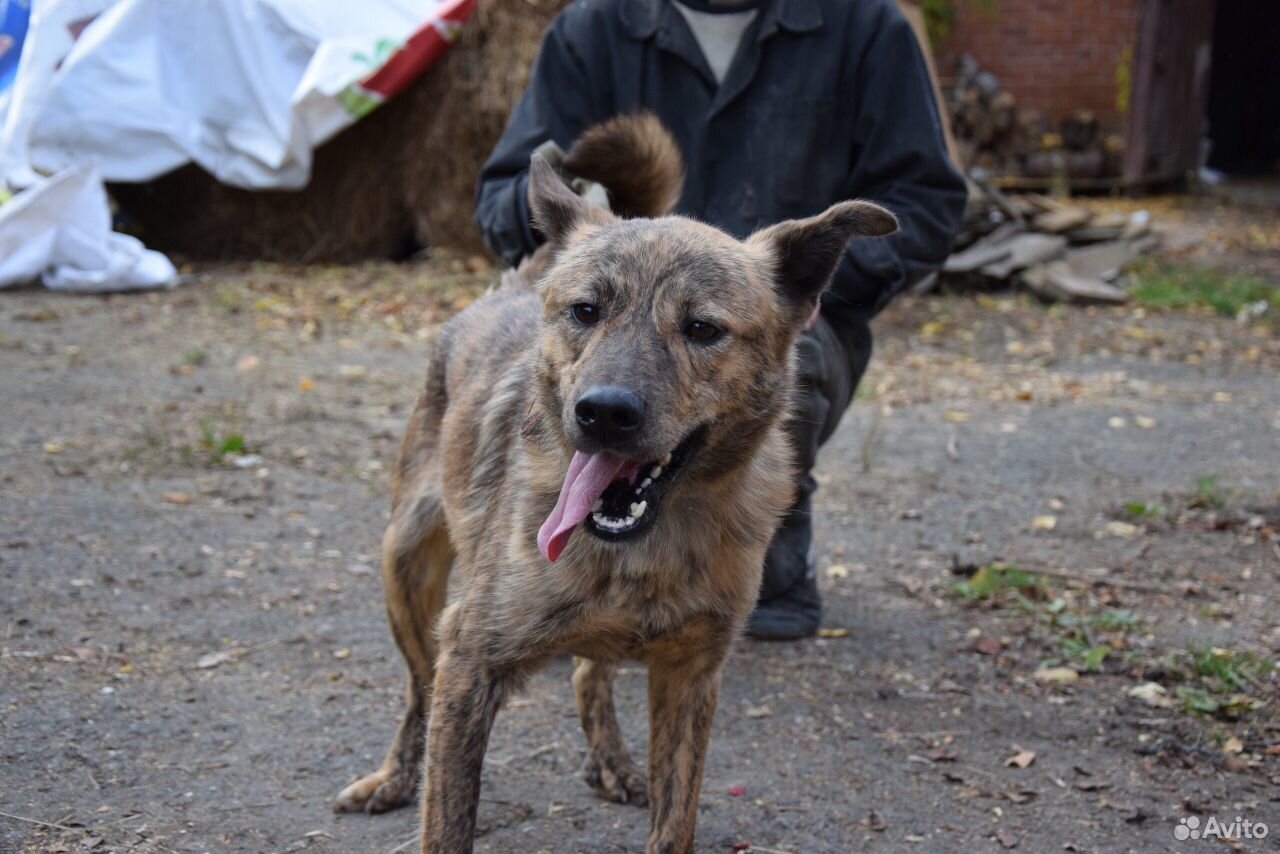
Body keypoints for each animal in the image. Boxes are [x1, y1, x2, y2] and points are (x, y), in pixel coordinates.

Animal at [335, 115, 896, 854]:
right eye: (585, 311)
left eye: (702, 328)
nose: (602, 413)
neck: (642, 550)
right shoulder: (469, 661)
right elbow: (447, 815)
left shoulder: (690, 676)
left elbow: (674, 821)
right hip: (406, 566)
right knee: (416, 688)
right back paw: (395, 776)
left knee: (587, 669)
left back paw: (610, 760)